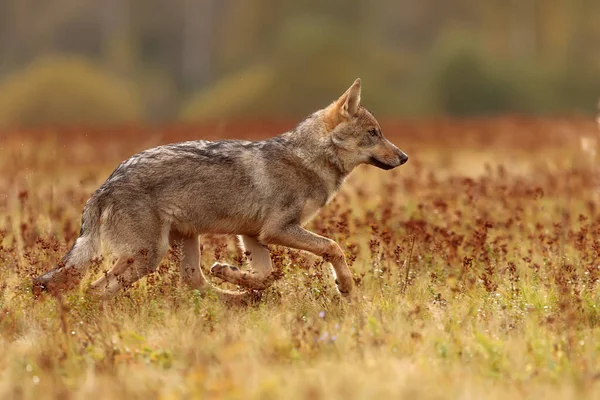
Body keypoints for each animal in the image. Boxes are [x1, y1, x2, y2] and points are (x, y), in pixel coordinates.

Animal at [32, 79, 408, 302]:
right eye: (374, 134)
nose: (404, 157)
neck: (310, 157)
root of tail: (105, 185)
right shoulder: (278, 230)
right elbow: (333, 248)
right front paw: (346, 288)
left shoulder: (254, 235)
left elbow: (266, 275)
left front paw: (234, 275)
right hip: (148, 256)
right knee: (94, 290)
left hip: (182, 242)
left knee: (194, 282)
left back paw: (238, 300)